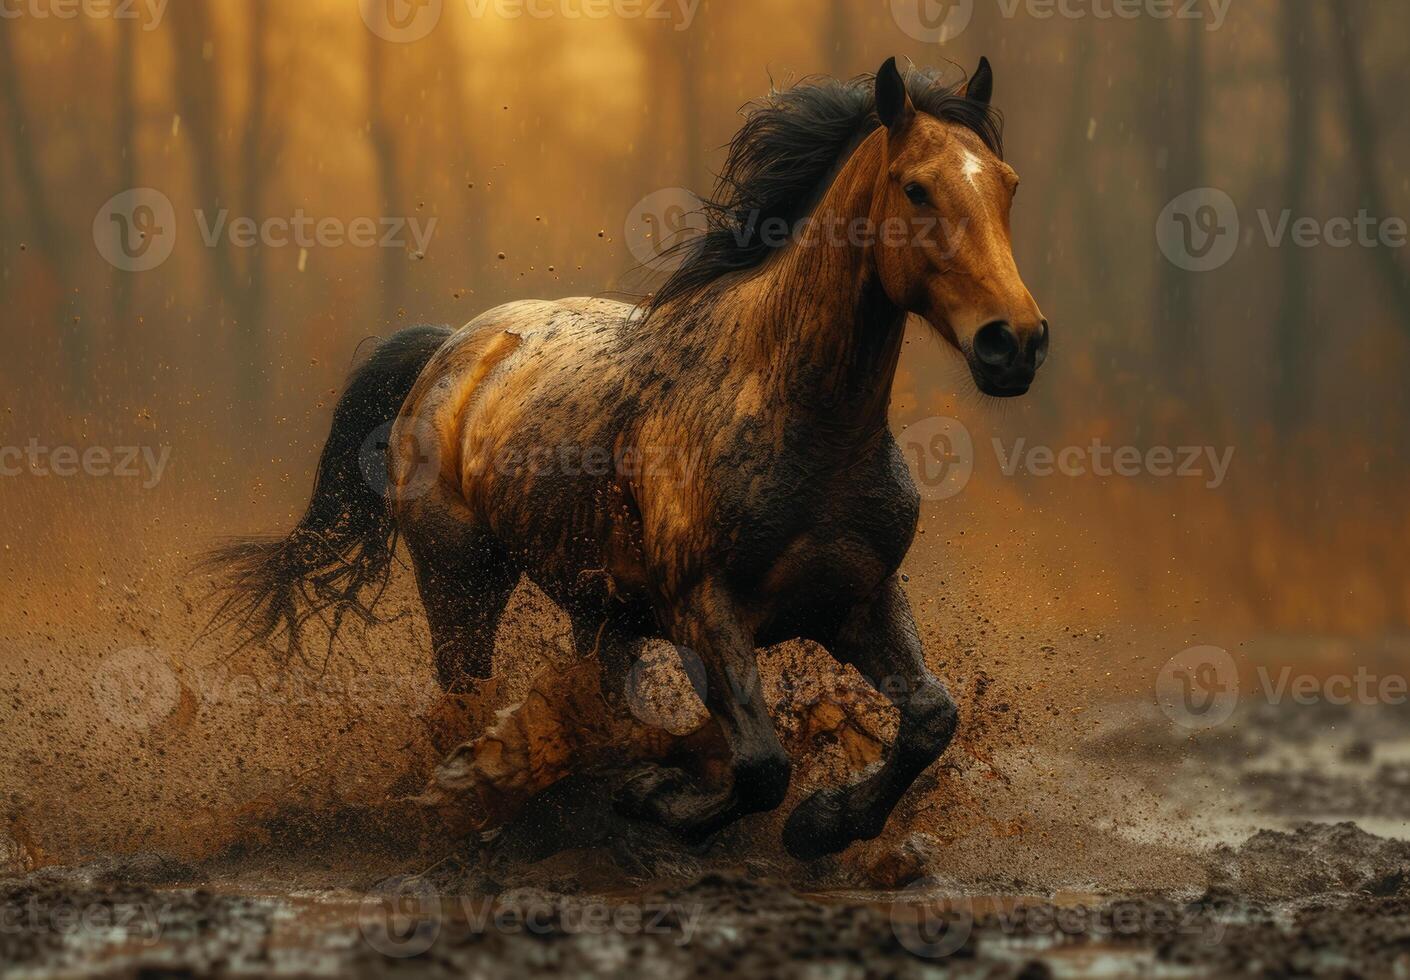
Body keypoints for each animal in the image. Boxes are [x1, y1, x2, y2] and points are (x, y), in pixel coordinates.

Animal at [208, 57, 1049, 862]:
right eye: (916, 188)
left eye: (1008, 183)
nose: (1014, 342)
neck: (803, 420)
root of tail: (449, 351)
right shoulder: (703, 610)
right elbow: (760, 766)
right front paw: (654, 798)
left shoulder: (857, 598)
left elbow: (932, 718)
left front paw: (823, 826)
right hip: (460, 579)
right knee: (462, 702)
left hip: (599, 611)